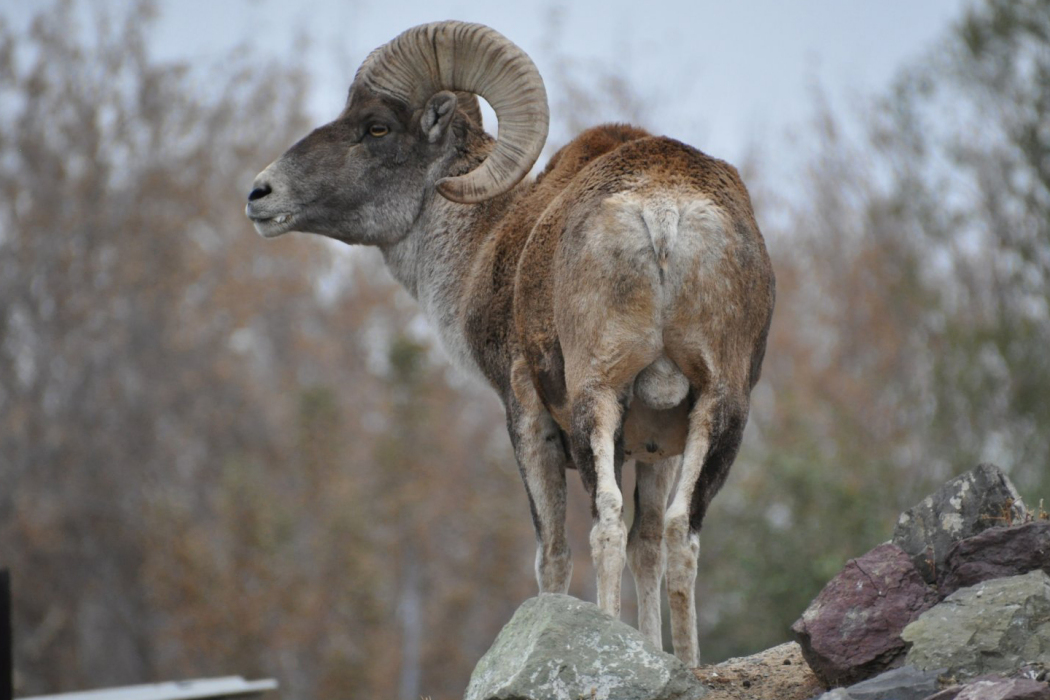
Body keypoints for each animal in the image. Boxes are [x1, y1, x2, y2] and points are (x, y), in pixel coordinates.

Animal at [243, 20, 772, 667]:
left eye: (377, 127)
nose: (261, 194)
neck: (488, 235)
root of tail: (665, 216)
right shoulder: (659, 447)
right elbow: (647, 546)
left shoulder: (526, 417)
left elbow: (553, 553)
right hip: (720, 409)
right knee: (677, 532)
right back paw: (690, 666)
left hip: (597, 401)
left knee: (604, 524)